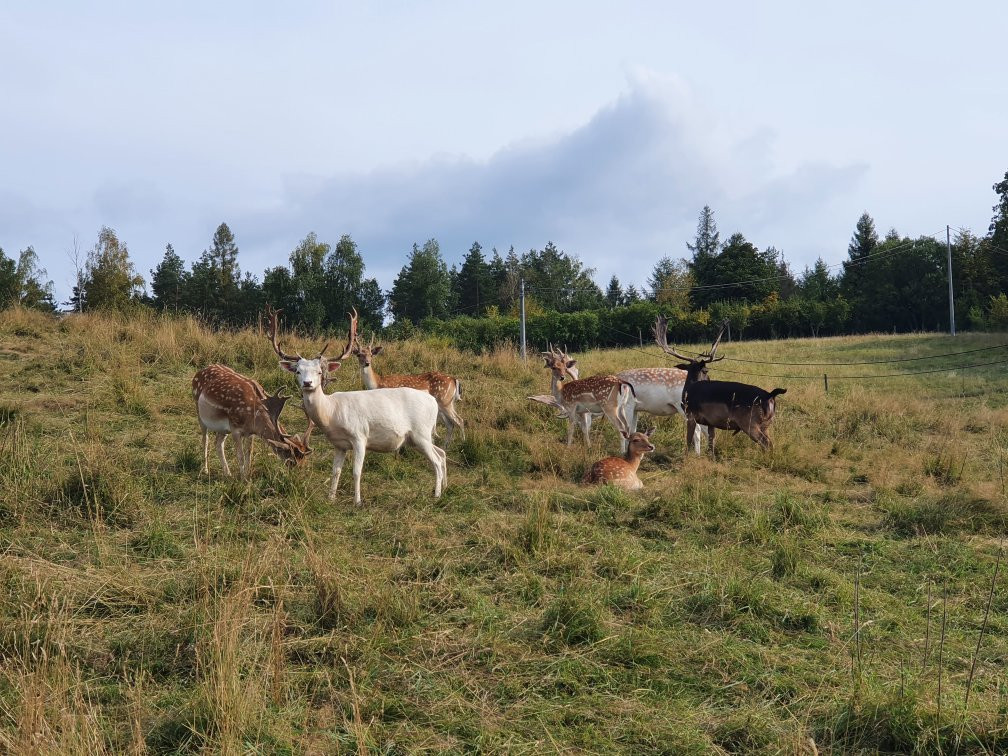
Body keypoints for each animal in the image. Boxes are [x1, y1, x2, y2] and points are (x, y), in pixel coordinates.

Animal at [266, 304, 447, 506]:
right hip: (417, 438)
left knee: (436, 460)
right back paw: (444, 488)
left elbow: (356, 471)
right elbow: (335, 471)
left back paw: (437, 494)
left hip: (421, 432)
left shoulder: (360, 436)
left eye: (320, 371)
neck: (332, 413)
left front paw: (358, 501)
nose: (307, 383)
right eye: (298, 371)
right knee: (441, 453)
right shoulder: (339, 444)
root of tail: (433, 402)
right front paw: (331, 498)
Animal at [653, 314, 786, 453]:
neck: (689, 388)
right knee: (770, 443)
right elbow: (711, 443)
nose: (709, 378)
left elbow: (689, 441)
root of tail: (770, 395)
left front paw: (687, 455)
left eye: (706, 370)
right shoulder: (711, 422)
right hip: (766, 424)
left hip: (750, 423)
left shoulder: (690, 415)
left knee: (767, 443)